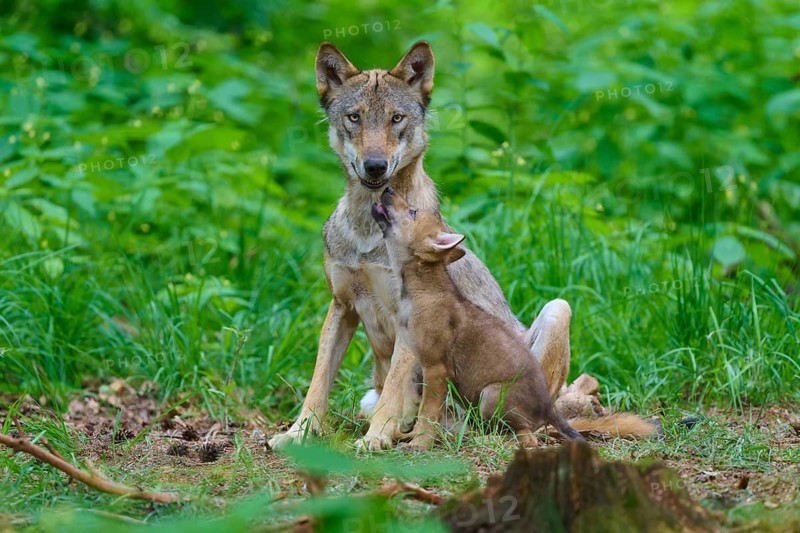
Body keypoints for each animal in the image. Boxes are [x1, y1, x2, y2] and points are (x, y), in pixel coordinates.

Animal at [268, 41, 655, 451]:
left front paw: (374, 439)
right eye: (354, 117)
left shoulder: (407, 321)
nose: (375, 166)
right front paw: (297, 434)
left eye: (396, 118)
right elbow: (318, 384)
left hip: (557, 310)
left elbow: (392, 389)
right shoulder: (342, 306)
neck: (367, 233)